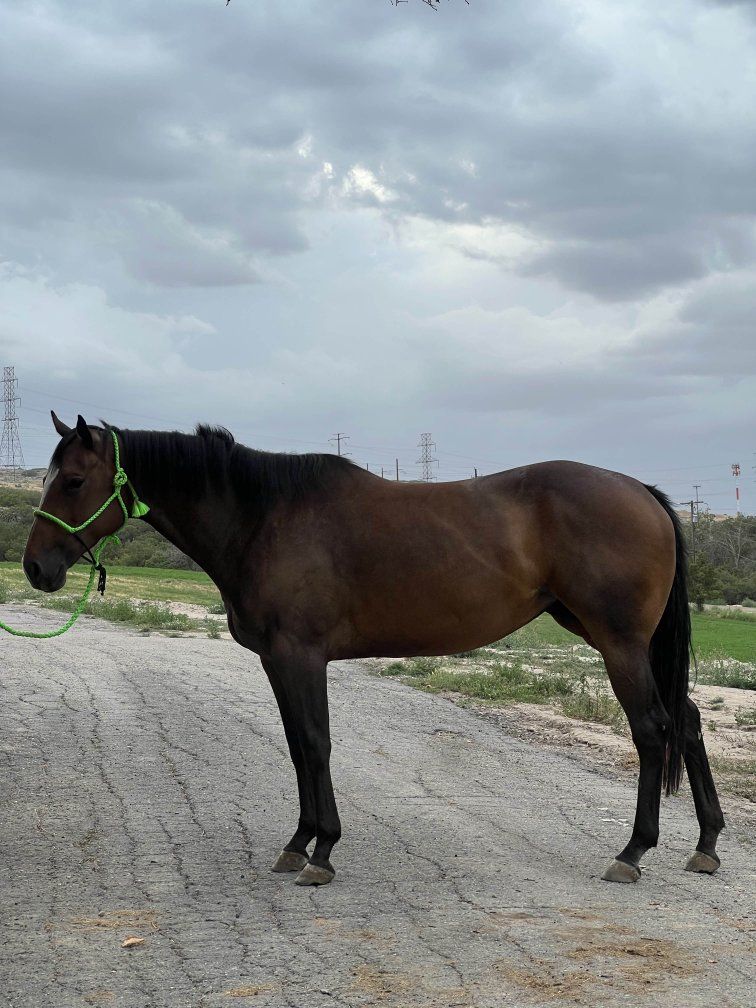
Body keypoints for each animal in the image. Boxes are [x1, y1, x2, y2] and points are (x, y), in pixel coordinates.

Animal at [21, 412, 724, 887]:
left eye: (75, 480)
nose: (35, 569)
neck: (263, 517)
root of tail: (642, 492)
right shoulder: (277, 661)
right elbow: (297, 746)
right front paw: (298, 843)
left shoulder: (300, 656)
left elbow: (315, 743)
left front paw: (323, 851)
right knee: (687, 721)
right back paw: (707, 845)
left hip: (618, 642)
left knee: (653, 729)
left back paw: (633, 852)